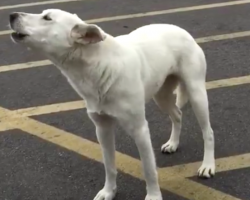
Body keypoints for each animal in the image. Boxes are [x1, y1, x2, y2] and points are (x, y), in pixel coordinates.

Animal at [9, 9, 215, 200]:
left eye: (47, 18)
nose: (11, 15)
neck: (98, 66)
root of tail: (181, 30)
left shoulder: (140, 129)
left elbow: (148, 168)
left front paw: (153, 196)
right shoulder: (102, 128)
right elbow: (109, 165)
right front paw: (109, 192)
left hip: (196, 93)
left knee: (208, 132)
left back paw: (207, 165)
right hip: (162, 96)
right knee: (177, 114)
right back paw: (173, 143)